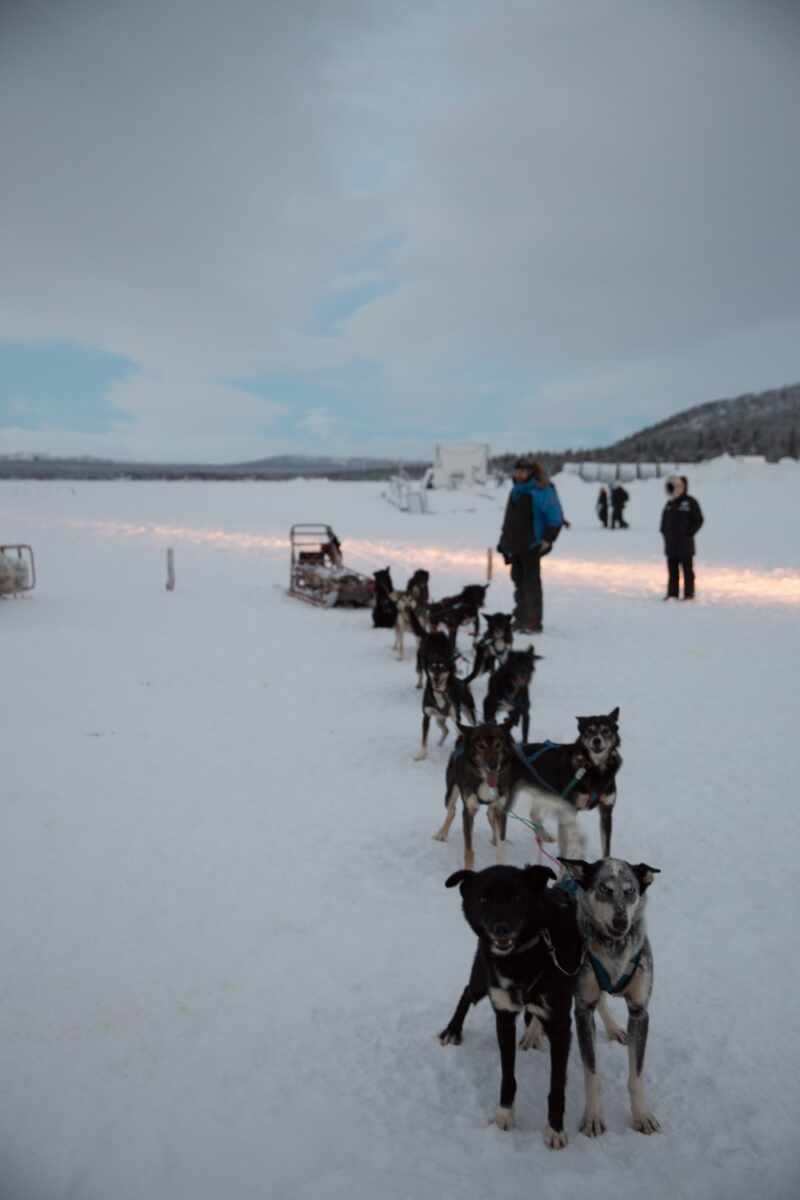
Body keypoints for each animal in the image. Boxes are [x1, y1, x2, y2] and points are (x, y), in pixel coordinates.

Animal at [441, 864, 585, 1142]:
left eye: (517, 897)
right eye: (483, 899)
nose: (501, 928)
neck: (522, 958)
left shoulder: (560, 1025)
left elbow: (557, 1084)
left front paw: (555, 1128)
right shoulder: (504, 1016)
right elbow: (508, 1076)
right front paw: (505, 1114)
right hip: (482, 977)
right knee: (467, 991)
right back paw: (452, 1030)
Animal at [513, 705, 623, 859]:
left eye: (606, 730)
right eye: (589, 730)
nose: (596, 740)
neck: (594, 769)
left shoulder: (606, 811)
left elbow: (606, 849)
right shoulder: (568, 810)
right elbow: (565, 846)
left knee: (533, 814)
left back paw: (544, 835)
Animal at [556, 859, 662, 1137]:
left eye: (630, 891)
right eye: (605, 889)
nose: (620, 921)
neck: (614, 952)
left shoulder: (639, 1011)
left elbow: (636, 1075)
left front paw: (641, 1116)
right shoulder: (583, 1010)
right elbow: (592, 1074)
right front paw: (593, 1117)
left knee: (603, 1001)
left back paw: (614, 1027)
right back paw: (533, 1035)